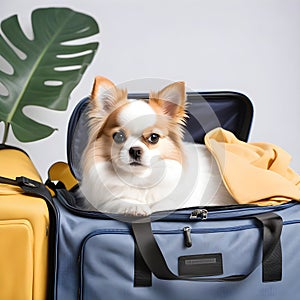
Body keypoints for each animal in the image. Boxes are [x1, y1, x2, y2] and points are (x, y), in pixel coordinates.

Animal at [81, 76, 236, 214]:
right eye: (118, 136)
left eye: (153, 138)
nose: (135, 150)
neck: (140, 179)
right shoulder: (101, 201)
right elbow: (117, 201)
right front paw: (135, 207)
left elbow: (166, 205)